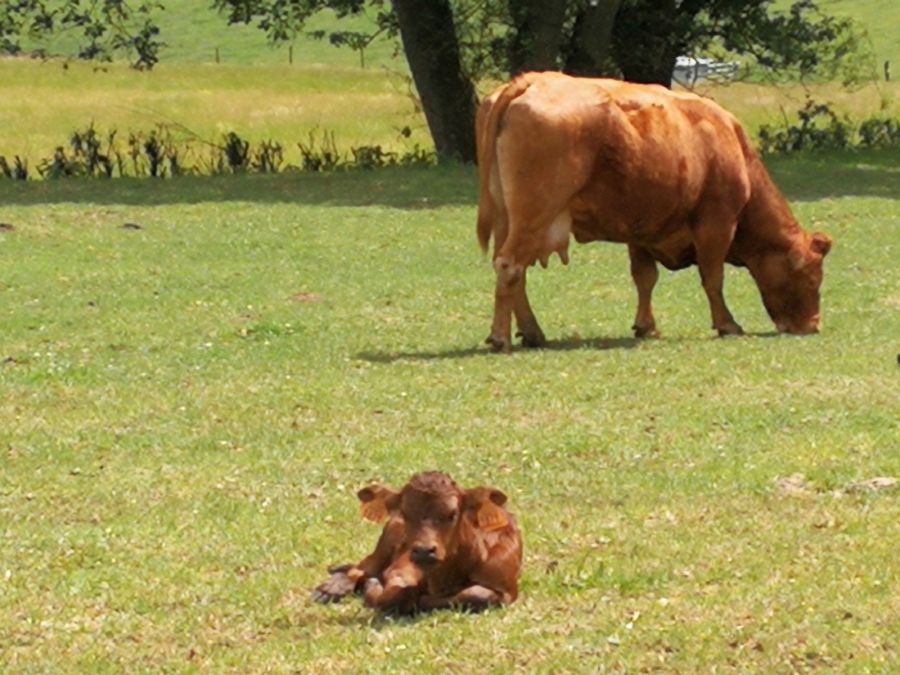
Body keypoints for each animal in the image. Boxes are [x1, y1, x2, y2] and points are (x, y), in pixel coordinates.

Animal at [312, 471, 522, 615]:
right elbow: (392, 596)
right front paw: (372, 586)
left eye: (453, 513)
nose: (423, 551)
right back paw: (332, 587)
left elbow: (479, 595)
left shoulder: (506, 588)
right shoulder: (400, 570)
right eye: (405, 513)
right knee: (362, 567)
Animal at [476, 72, 832, 352]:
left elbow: (644, 278)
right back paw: (501, 337)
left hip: (509, 219)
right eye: (812, 277)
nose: (813, 325)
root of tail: (532, 80)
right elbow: (712, 277)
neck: (731, 146)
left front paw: (646, 325)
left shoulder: (640, 228)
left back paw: (532, 332)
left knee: (514, 272)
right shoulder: (717, 223)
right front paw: (726, 324)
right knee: (510, 266)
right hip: (533, 217)